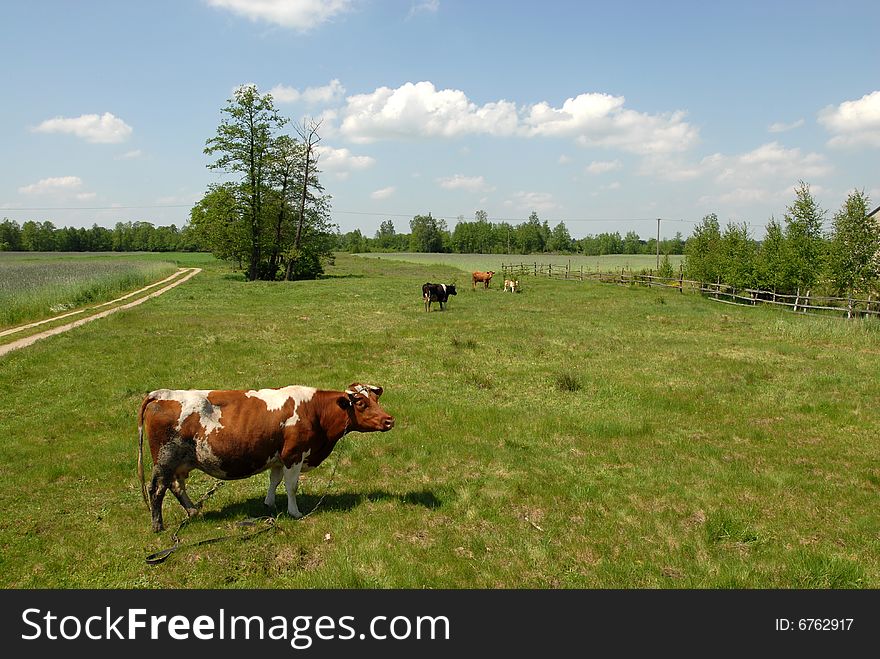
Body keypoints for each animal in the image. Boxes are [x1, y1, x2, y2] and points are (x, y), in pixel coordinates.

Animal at [138, 382, 396, 532]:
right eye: (360, 403)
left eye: (376, 400)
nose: (389, 420)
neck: (314, 410)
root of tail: (161, 394)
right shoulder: (293, 455)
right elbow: (291, 486)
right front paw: (295, 512)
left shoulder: (278, 457)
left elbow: (275, 480)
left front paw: (269, 503)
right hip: (165, 459)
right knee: (157, 489)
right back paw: (158, 525)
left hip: (180, 463)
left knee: (176, 486)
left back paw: (192, 511)